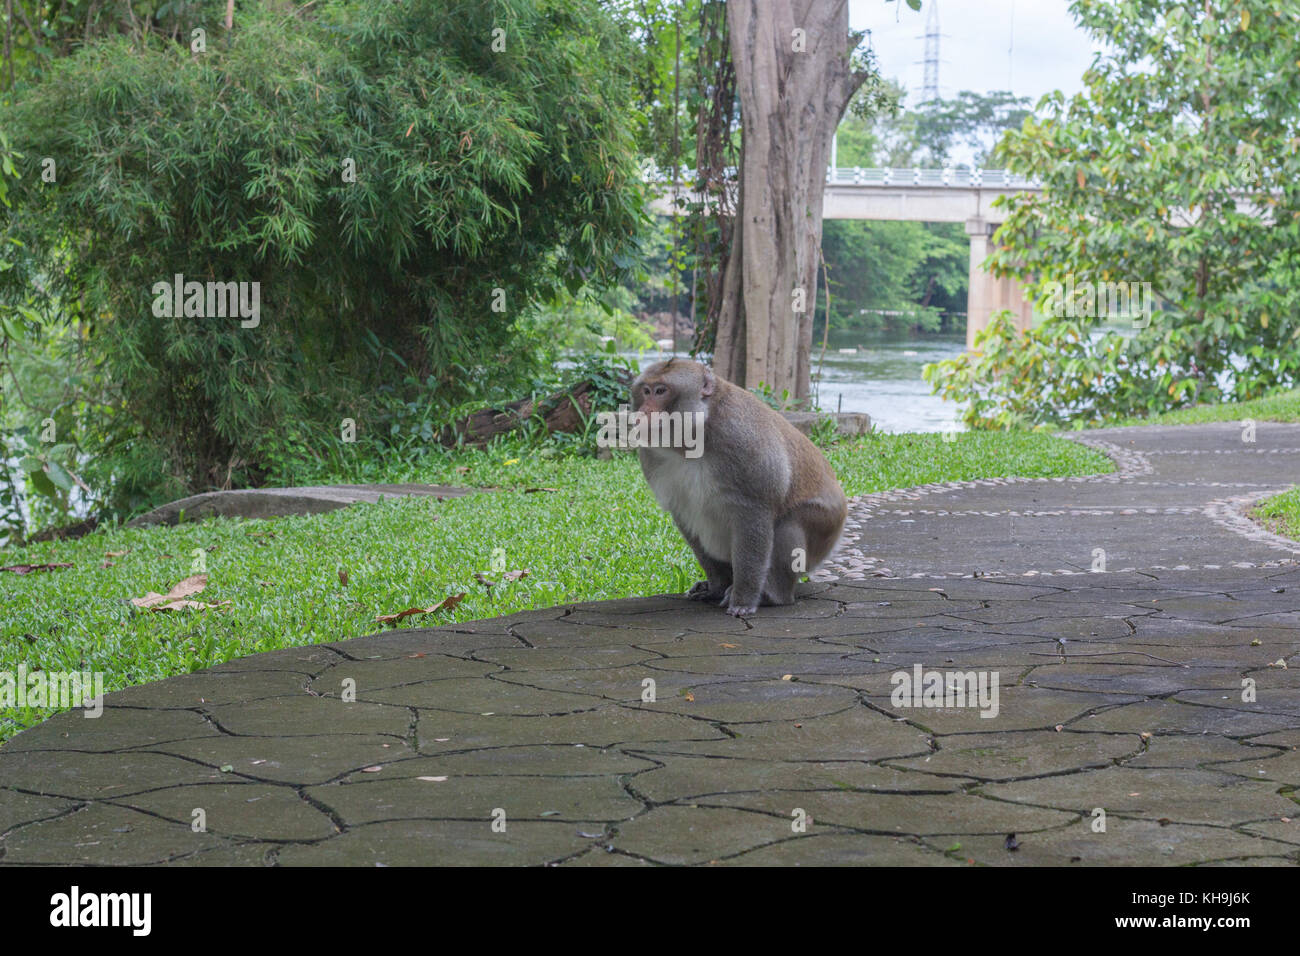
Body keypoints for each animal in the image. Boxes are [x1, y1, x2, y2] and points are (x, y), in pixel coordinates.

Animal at [630, 358, 847, 617]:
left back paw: (772, 596)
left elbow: (754, 513)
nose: (642, 412)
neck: (693, 437)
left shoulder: (744, 439)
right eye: (646, 391)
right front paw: (716, 586)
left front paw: (744, 599)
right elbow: (685, 515)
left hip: (826, 527)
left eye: (661, 391)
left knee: (789, 525)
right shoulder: (651, 457)